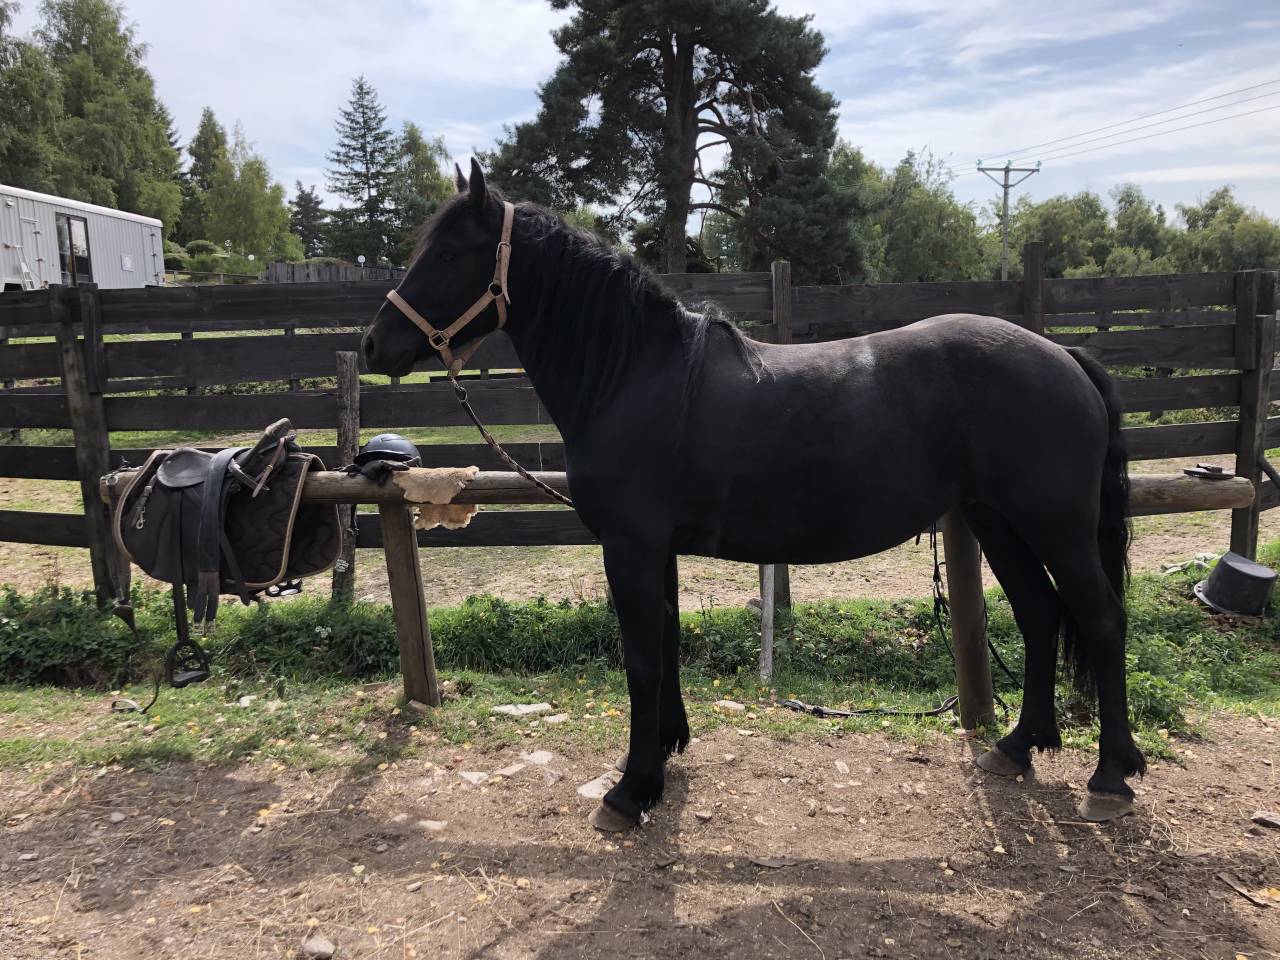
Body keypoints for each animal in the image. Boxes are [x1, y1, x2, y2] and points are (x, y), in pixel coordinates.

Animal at [362, 158, 1146, 831]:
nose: (374, 345)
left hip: (1056, 526)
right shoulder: (655, 550)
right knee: (1042, 615)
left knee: (1100, 619)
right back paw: (1018, 746)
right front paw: (666, 753)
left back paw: (1110, 776)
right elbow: (667, 641)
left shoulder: (630, 547)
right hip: (997, 520)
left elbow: (642, 658)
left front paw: (631, 790)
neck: (634, 373)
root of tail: (1063, 353)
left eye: (449, 254)